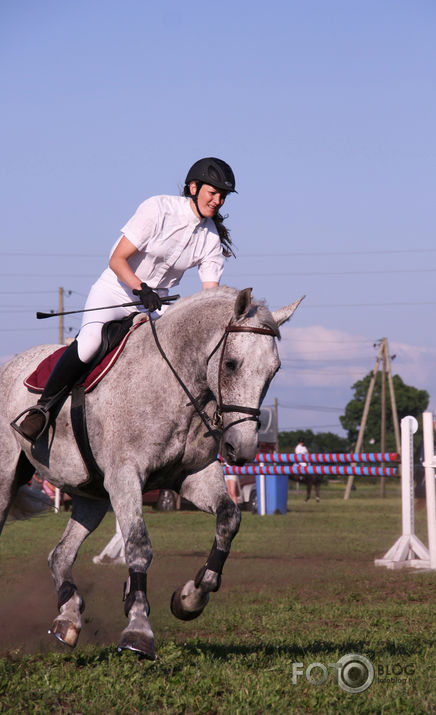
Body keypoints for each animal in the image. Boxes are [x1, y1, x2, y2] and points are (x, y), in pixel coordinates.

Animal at [0, 286, 304, 660]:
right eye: (232, 364)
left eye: (274, 370)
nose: (242, 449)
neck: (175, 385)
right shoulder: (125, 477)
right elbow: (139, 547)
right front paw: (138, 628)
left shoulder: (193, 475)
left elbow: (229, 518)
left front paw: (191, 597)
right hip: (8, 479)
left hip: (91, 496)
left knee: (60, 555)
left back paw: (68, 617)